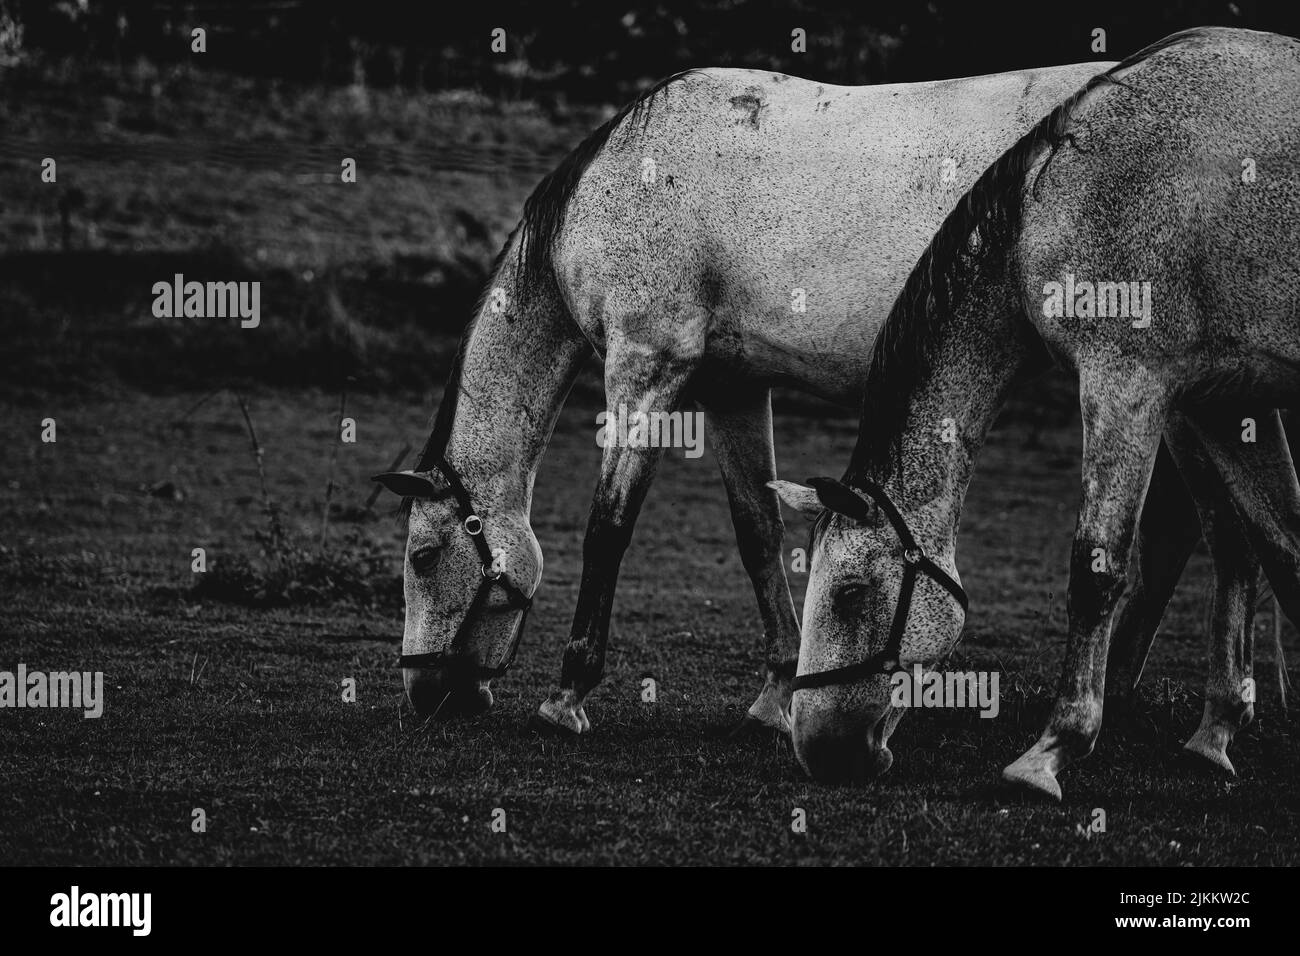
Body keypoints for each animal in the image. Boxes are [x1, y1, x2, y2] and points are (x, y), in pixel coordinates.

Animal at [369, 52, 1248, 738]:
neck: (625, 177)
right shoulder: (731, 388)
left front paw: (568, 693)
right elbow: (757, 534)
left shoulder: (645, 370)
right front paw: (776, 692)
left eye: (421, 557)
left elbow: (607, 528)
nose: (423, 694)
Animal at [774, 26, 1294, 796]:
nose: (817, 752)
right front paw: (1220, 728)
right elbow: (1278, 545)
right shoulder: (1225, 402)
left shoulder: (1126, 382)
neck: (1064, 190)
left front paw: (1052, 749)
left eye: (851, 594)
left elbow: (1098, 569)